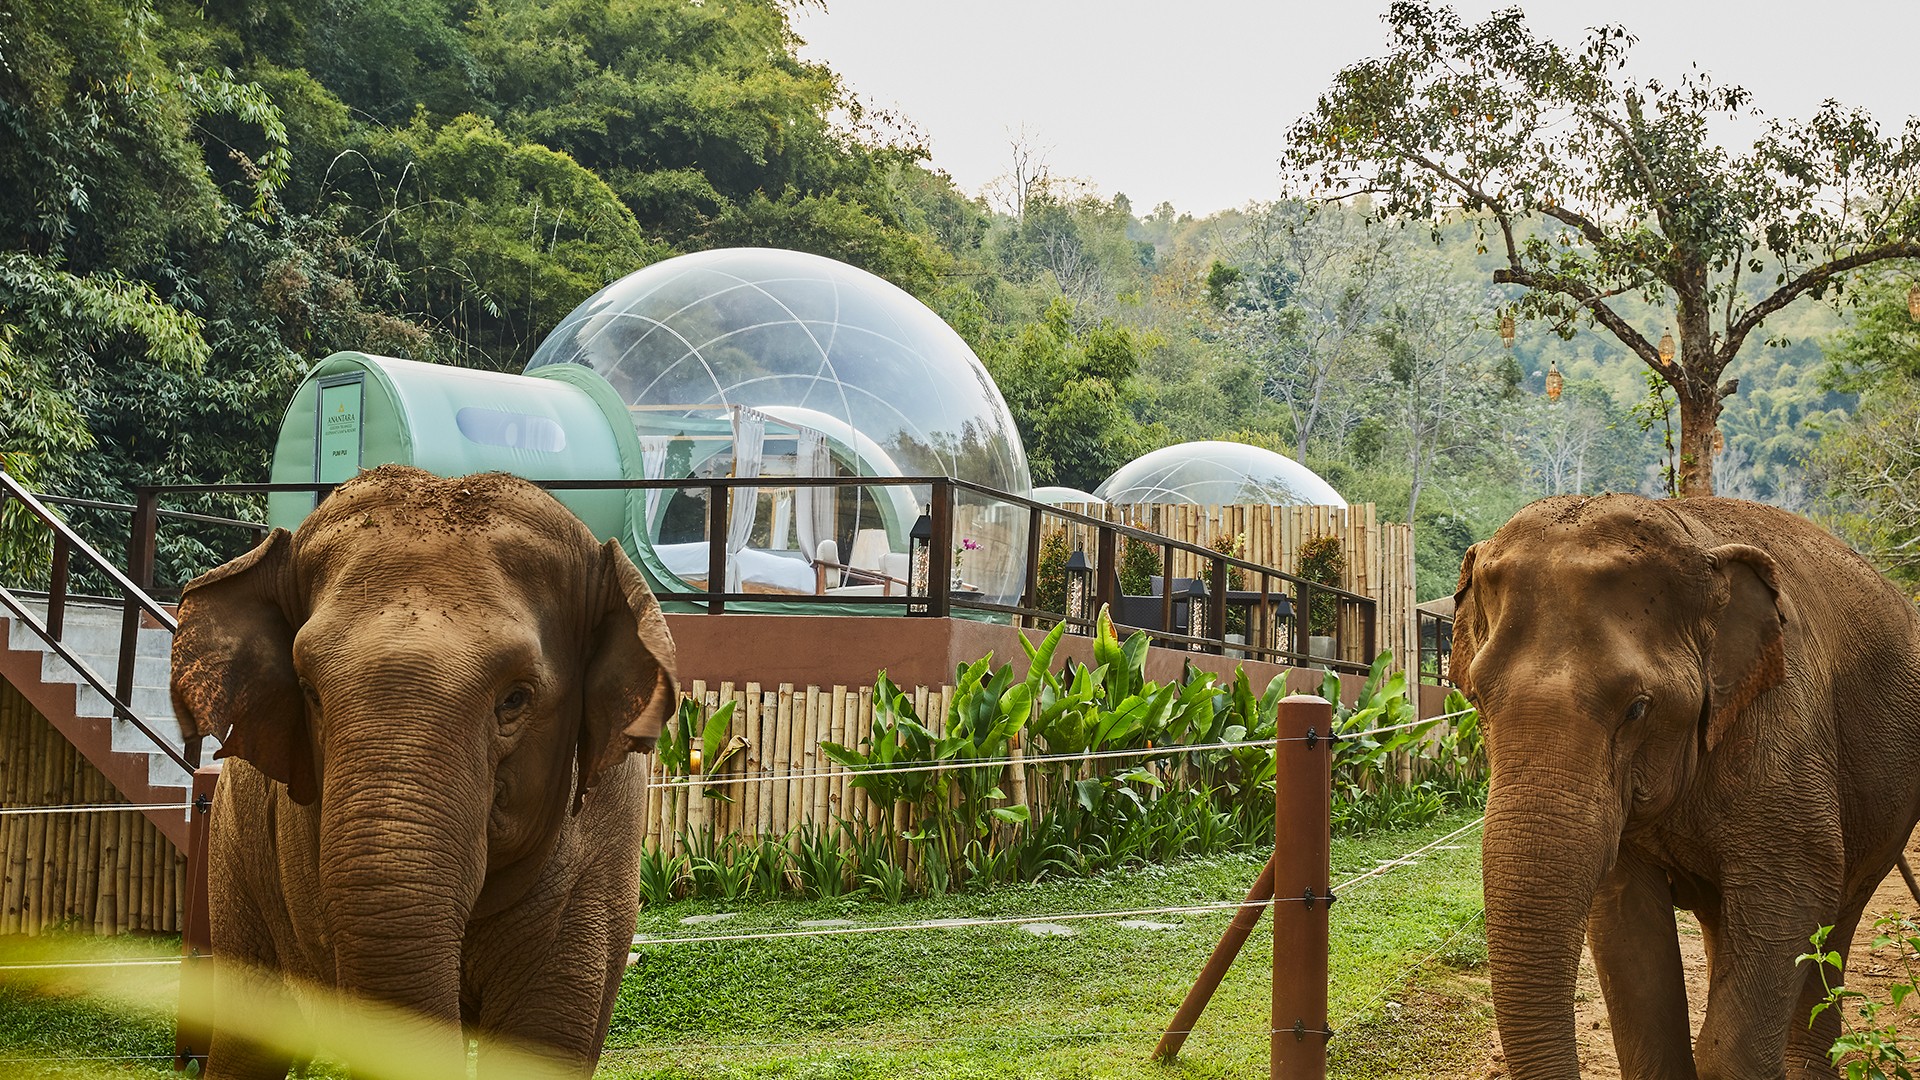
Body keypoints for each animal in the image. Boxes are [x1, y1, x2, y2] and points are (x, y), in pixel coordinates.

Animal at [169, 465, 679, 1078]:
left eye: (515, 698)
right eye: (309, 691)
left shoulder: (600, 851)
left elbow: (541, 1042)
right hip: (233, 857)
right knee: (250, 1033)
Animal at [1453, 494, 1920, 1080]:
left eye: (1636, 708)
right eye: (1477, 699)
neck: (1696, 539)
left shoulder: (1783, 721)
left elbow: (1795, 885)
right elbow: (1626, 919)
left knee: (1837, 918)